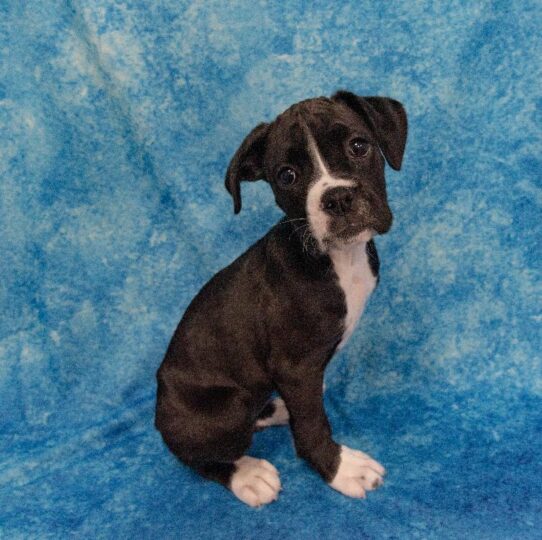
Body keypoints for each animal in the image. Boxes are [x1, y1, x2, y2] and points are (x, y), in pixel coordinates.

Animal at [155, 90, 410, 508]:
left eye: (359, 146)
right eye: (286, 176)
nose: (337, 198)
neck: (337, 259)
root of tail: (159, 416)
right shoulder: (296, 367)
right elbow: (312, 424)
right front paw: (339, 468)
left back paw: (274, 409)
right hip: (225, 410)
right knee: (200, 458)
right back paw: (247, 475)